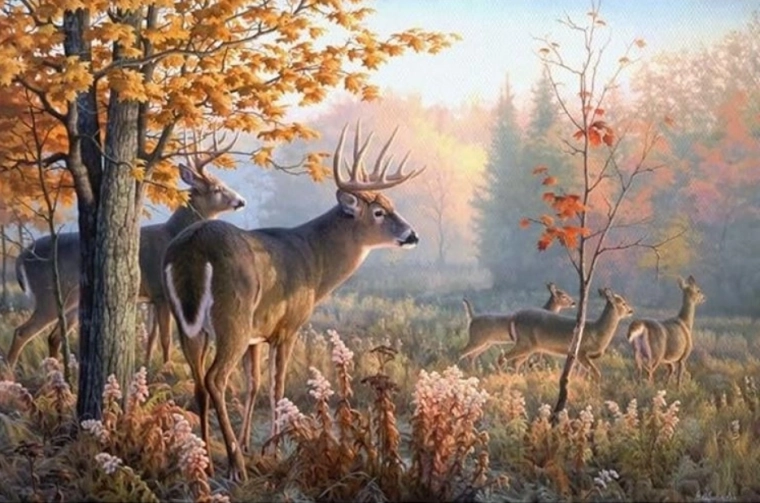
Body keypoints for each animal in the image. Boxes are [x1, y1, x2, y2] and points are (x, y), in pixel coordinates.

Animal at [6, 142, 246, 371]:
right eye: (217, 188)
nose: (241, 201)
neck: (173, 233)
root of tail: (22, 257)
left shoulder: (151, 297)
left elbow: (151, 337)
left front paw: (148, 367)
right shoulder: (161, 292)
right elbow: (166, 338)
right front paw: (167, 369)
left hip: (72, 301)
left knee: (53, 337)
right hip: (50, 294)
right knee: (22, 332)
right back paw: (11, 374)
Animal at [162, 123, 424, 481]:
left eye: (391, 203)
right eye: (379, 212)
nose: (413, 235)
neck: (313, 262)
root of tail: (192, 247)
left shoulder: (258, 334)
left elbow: (254, 384)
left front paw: (250, 444)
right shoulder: (288, 326)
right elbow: (277, 386)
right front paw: (273, 450)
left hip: (189, 324)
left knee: (200, 383)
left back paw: (205, 458)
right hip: (232, 316)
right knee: (216, 378)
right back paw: (235, 466)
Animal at [497, 287, 634, 380]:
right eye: (623, 303)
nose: (631, 310)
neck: (598, 332)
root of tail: (515, 317)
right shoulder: (580, 352)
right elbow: (596, 373)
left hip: (530, 347)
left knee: (515, 362)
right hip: (525, 343)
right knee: (502, 358)